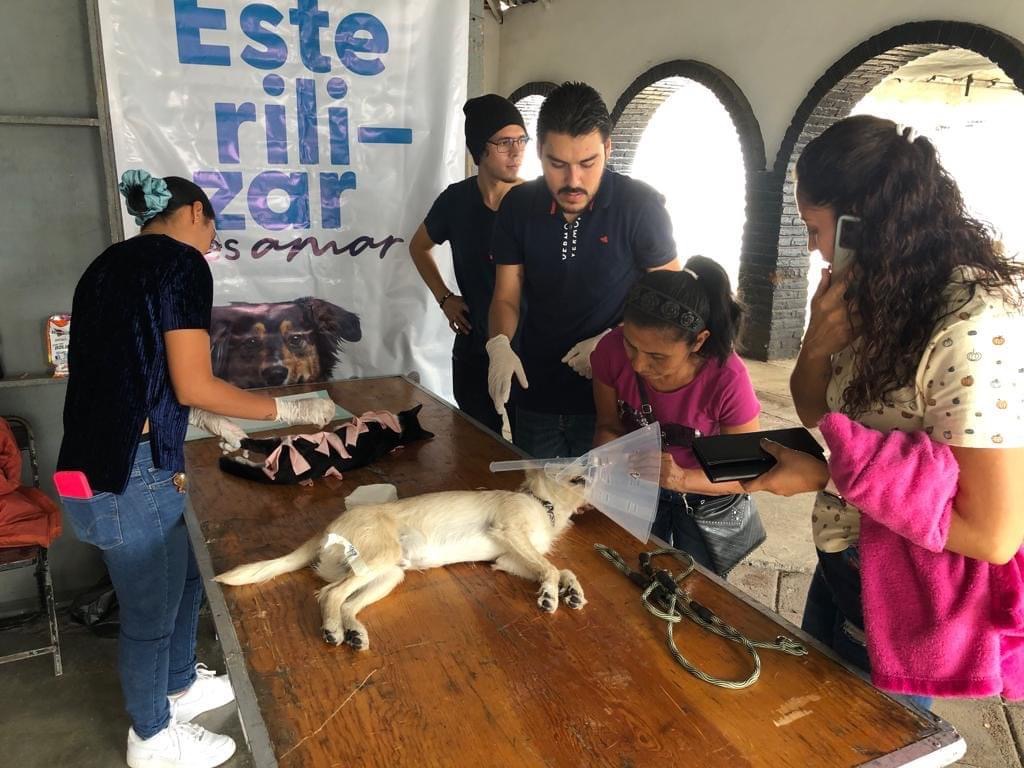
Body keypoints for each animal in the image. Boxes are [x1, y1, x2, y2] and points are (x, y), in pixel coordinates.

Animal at [211, 473, 589, 651]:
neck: (543, 505)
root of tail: (327, 528)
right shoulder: (509, 530)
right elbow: (550, 567)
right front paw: (551, 594)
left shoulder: (508, 558)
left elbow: (558, 568)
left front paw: (570, 590)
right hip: (381, 558)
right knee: (330, 594)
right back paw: (333, 630)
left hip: (388, 576)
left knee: (346, 602)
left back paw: (354, 632)